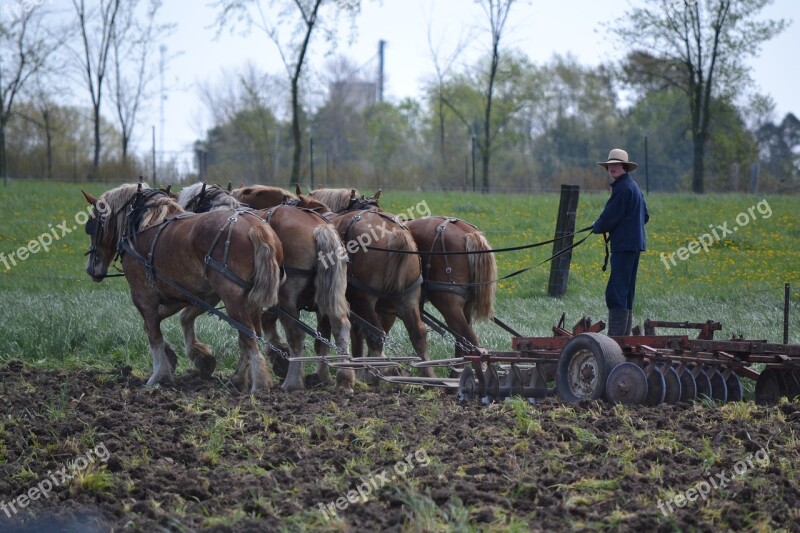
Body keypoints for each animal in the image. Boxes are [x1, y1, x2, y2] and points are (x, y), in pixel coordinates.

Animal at [83, 182, 282, 390]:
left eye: (92, 225)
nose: (91, 268)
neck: (143, 226)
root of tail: (256, 228)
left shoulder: (143, 297)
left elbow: (154, 335)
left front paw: (158, 376)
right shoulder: (191, 295)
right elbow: (171, 320)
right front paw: (196, 357)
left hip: (233, 299)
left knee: (249, 338)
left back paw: (258, 383)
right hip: (251, 302)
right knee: (252, 335)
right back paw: (244, 378)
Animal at [181, 183, 356, 390]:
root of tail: (319, 227)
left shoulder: (224, 293)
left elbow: (245, 335)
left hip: (287, 299)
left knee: (296, 335)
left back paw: (292, 382)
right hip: (330, 295)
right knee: (340, 327)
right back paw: (342, 378)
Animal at [239, 185, 432, 376]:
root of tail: (395, 232)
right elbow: (330, 336)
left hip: (364, 299)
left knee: (376, 335)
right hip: (406, 297)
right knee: (417, 333)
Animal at [310, 187, 496, 358]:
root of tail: (469, 233)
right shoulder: (388, 307)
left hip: (447, 302)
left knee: (469, 340)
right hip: (465, 304)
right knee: (462, 342)